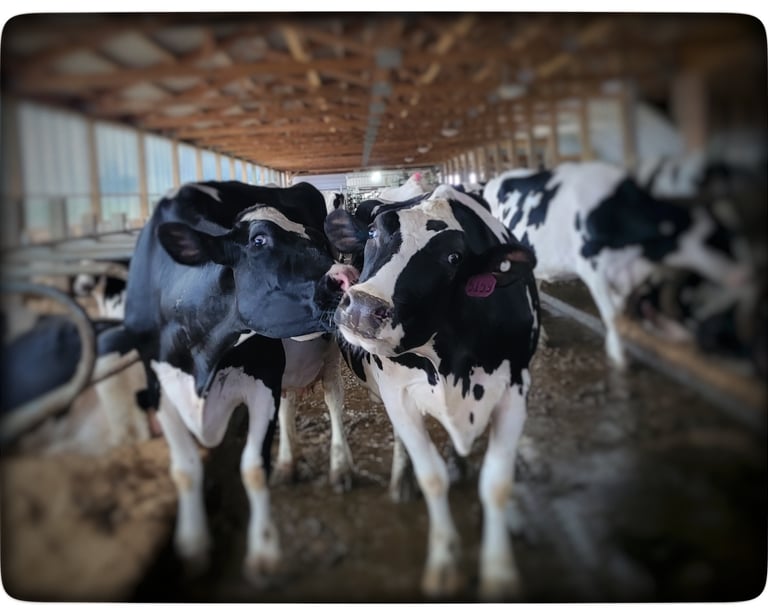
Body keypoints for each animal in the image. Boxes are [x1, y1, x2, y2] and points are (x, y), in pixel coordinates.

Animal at [110, 180, 356, 582]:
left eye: (319, 240)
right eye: (259, 241)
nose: (347, 277)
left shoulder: (263, 380)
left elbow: (253, 469)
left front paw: (264, 555)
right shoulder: (159, 386)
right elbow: (184, 471)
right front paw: (193, 547)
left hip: (330, 348)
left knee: (333, 398)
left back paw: (340, 467)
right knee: (290, 401)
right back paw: (288, 463)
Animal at [323, 184, 540, 598]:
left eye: (453, 257)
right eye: (372, 233)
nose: (363, 307)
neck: (452, 361)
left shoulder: (514, 391)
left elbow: (497, 484)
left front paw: (499, 572)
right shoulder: (399, 395)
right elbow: (432, 478)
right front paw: (443, 565)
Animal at [483, 161, 751, 368]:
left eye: (728, 232)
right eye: (714, 239)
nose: (743, 275)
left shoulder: (628, 273)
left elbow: (619, 311)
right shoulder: (593, 269)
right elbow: (611, 314)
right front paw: (619, 357)